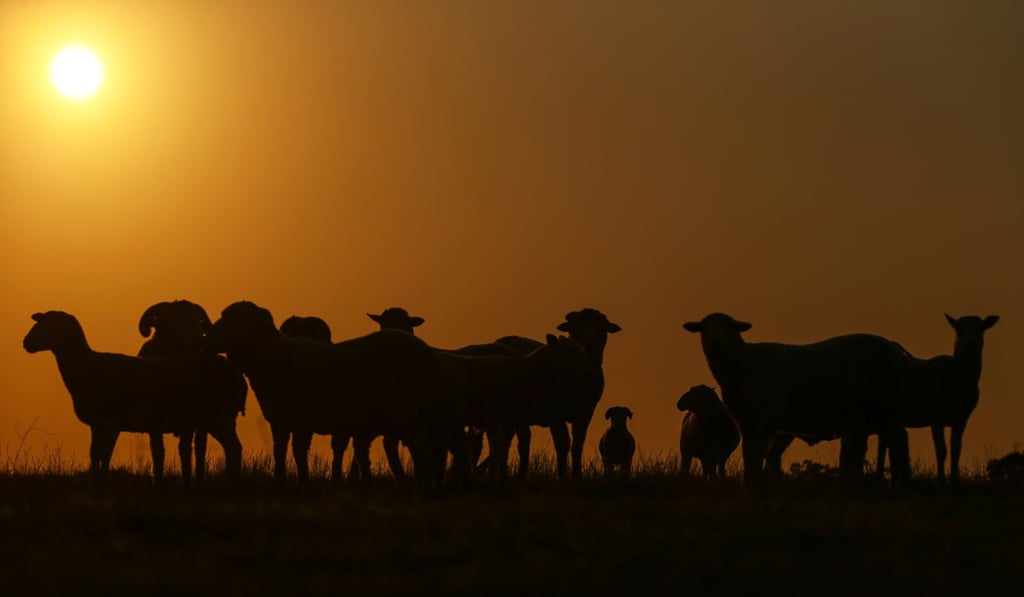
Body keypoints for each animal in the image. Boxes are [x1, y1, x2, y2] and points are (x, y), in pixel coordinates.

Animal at [23, 311, 244, 488]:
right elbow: (95, 453)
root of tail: (232, 370)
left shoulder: (112, 422)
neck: (87, 366)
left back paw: (232, 483)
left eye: (49, 324)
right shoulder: (96, 424)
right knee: (231, 447)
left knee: (234, 447)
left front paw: (104, 484)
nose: (26, 342)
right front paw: (95, 483)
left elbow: (105, 453)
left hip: (218, 416)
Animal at [206, 301, 456, 492]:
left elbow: (299, 451)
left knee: (421, 442)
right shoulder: (280, 419)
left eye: (233, 320)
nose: (208, 337)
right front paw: (280, 482)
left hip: (406, 410)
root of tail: (428, 355)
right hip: (420, 409)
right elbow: (281, 451)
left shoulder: (302, 419)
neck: (277, 356)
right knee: (432, 440)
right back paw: (432, 482)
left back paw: (425, 484)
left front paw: (303, 483)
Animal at [682, 312, 912, 486]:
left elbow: (755, 456)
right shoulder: (747, 423)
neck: (743, 362)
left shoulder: (763, 419)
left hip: (886, 405)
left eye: (730, 327)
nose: (715, 344)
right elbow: (750, 456)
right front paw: (748, 483)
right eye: (704, 328)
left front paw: (753, 485)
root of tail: (892, 348)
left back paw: (902, 482)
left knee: (899, 440)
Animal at [877, 314, 999, 484]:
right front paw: (941, 480)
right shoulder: (937, 417)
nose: (970, 345)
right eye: (958, 329)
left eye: (981, 329)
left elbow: (956, 449)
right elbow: (941, 450)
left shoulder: (962, 418)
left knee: (883, 442)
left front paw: (955, 480)